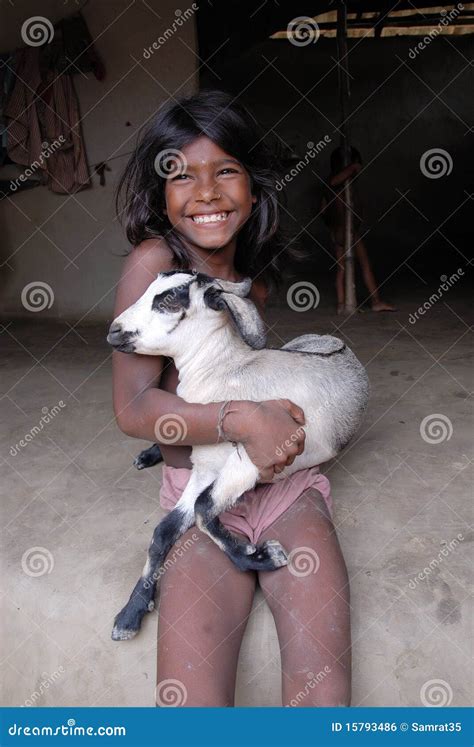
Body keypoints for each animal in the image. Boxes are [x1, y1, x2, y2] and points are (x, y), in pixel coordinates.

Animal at [107, 272, 370, 640]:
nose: (114, 331)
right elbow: (164, 530)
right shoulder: (204, 469)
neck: (226, 374)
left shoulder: (250, 461)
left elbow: (202, 509)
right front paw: (130, 613)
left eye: (170, 301)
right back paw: (147, 454)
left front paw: (260, 557)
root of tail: (331, 339)